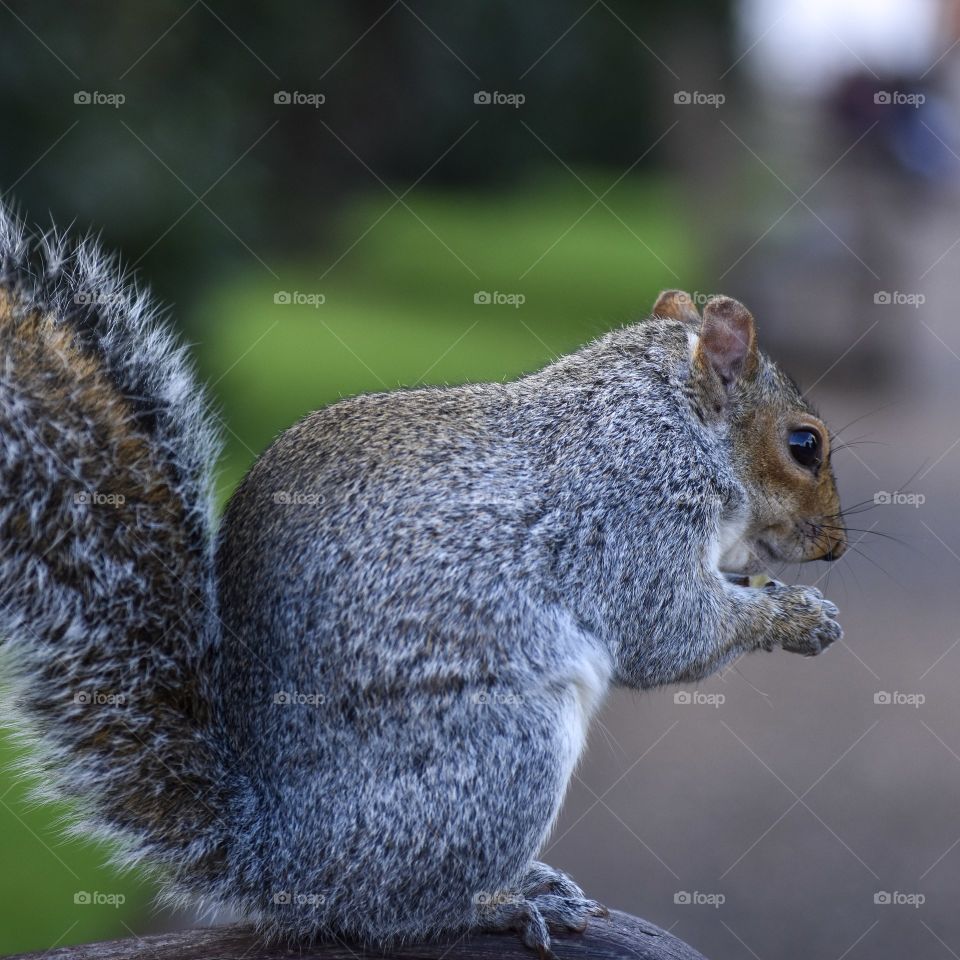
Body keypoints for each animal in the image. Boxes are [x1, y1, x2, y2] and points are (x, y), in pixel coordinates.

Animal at [0, 208, 845, 957]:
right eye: (804, 444)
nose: (836, 545)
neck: (669, 417)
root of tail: (278, 857)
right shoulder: (632, 513)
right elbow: (665, 632)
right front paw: (799, 618)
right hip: (501, 755)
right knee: (396, 912)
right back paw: (502, 902)